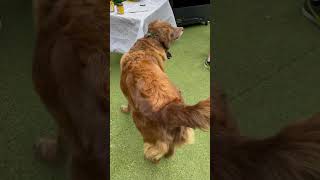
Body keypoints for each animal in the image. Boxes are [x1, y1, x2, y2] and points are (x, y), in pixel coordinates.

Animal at [119, 20, 210, 164]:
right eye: (171, 28)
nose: (182, 28)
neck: (151, 41)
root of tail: (171, 109)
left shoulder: (126, 92)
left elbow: (128, 104)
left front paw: (124, 109)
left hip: (143, 127)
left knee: (158, 148)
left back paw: (151, 158)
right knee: (170, 148)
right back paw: (166, 156)